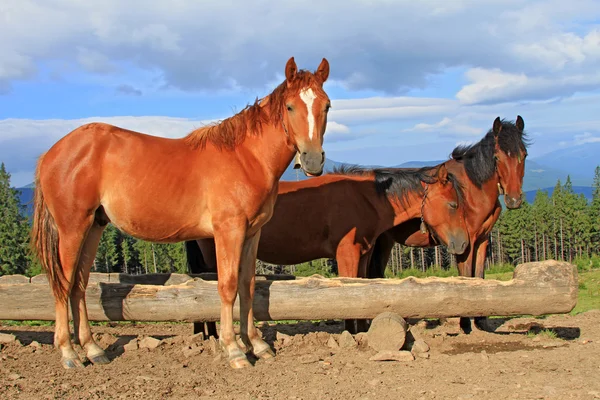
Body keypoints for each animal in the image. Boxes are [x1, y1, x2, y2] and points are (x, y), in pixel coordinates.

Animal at [30, 56, 332, 368]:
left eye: (326, 105)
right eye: (290, 106)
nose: (312, 159)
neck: (246, 157)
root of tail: (51, 153)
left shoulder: (252, 234)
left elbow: (247, 286)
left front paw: (257, 345)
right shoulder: (228, 231)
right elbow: (228, 286)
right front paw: (234, 350)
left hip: (93, 226)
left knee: (79, 285)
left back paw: (93, 350)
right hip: (72, 228)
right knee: (63, 284)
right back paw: (69, 353)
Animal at [186, 162, 468, 332]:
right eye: (453, 204)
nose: (463, 242)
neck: (363, 198)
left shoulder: (363, 254)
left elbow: (362, 288)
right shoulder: (347, 254)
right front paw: (350, 333)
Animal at [368, 115, 528, 332]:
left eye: (524, 155)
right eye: (497, 157)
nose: (513, 199)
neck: (472, 190)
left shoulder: (483, 240)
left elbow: (479, 276)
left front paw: (481, 321)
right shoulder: (466, 243)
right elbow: (466, 277)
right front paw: (465, 324)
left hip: (384, 242)